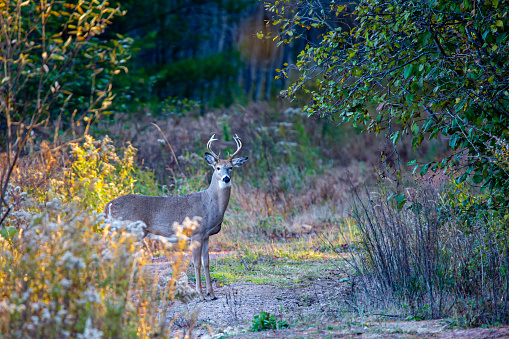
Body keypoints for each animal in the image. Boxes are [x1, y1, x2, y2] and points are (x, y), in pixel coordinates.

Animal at [103, 135, 246, 300]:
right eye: (218, 168)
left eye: (231, 167)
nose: (226, 179)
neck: (209, 204)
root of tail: (107, 205)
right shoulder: (196, 233)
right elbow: (196, 262)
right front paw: (200, 294)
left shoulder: (206, 235)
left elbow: (206, 262)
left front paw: (212, 294)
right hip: (127, 231)